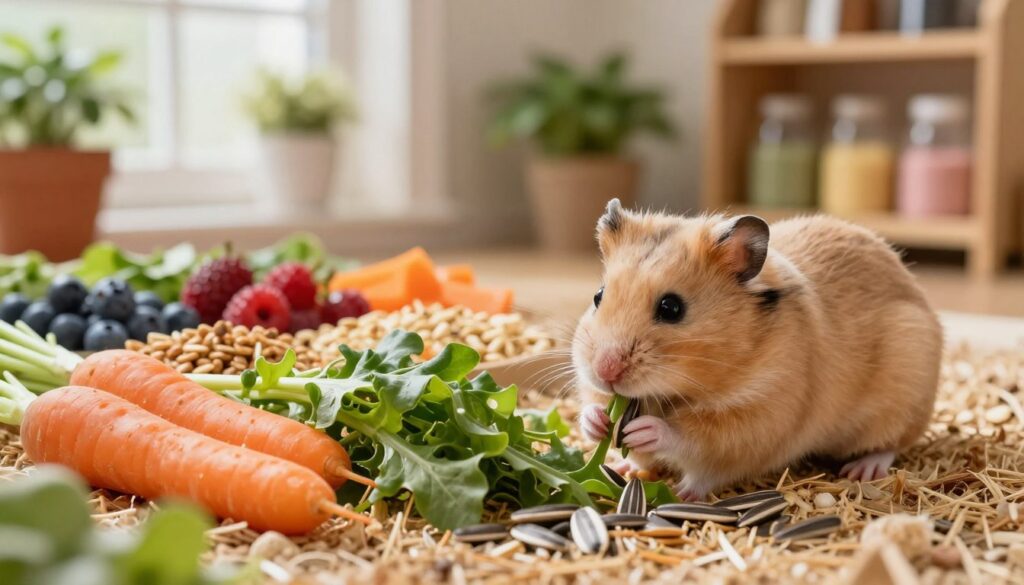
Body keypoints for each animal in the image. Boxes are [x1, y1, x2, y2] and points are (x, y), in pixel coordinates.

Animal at [573, 199, 942, 501]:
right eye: (598, 296)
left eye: (671, 308)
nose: (605, 371)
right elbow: (595, 405)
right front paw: (598, 423)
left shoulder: (757, 420)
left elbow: (694, 440)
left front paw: (650, 436)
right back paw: (621, 468)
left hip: (902, 396)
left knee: (892, 445)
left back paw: (862, 470)